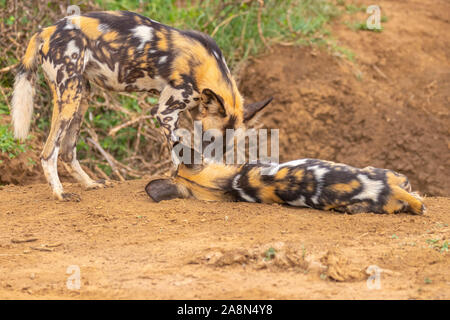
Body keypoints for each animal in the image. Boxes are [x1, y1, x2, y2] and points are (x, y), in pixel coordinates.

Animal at [10, 11, 270, 201]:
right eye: (209, 140)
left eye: (224, 146)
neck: (204, 67)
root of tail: (45, 30)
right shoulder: (165, 113)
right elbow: (176, 153)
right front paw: (179, 181)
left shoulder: (189, 115)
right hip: (69, 97)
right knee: (48, 153)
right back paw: (60, 193)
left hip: (81, 96)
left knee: (67, 151)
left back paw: (90, 184)